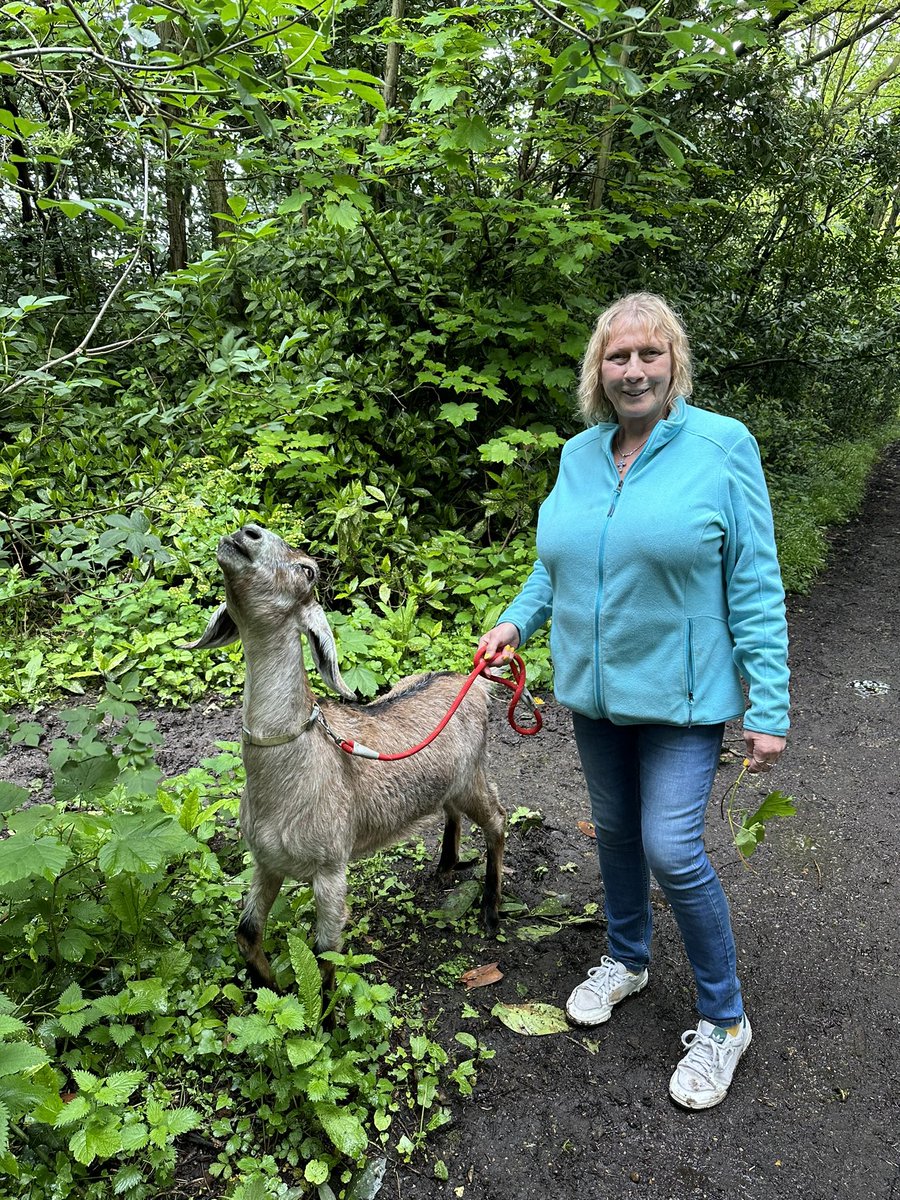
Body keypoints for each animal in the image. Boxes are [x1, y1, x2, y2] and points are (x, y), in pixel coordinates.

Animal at [189, 523, 506, 993]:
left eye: (308, 570)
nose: (247, 531)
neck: (294, 764)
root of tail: (474, 682)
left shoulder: (330, 868)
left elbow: (326, 956)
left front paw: (321, 1010)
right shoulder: (266, 861)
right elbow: (247, 933)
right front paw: (272, 989)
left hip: (473, 775)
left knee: (498, 821)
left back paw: (490, 909)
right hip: (451, 783)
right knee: (450, 811)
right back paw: (446, 867)